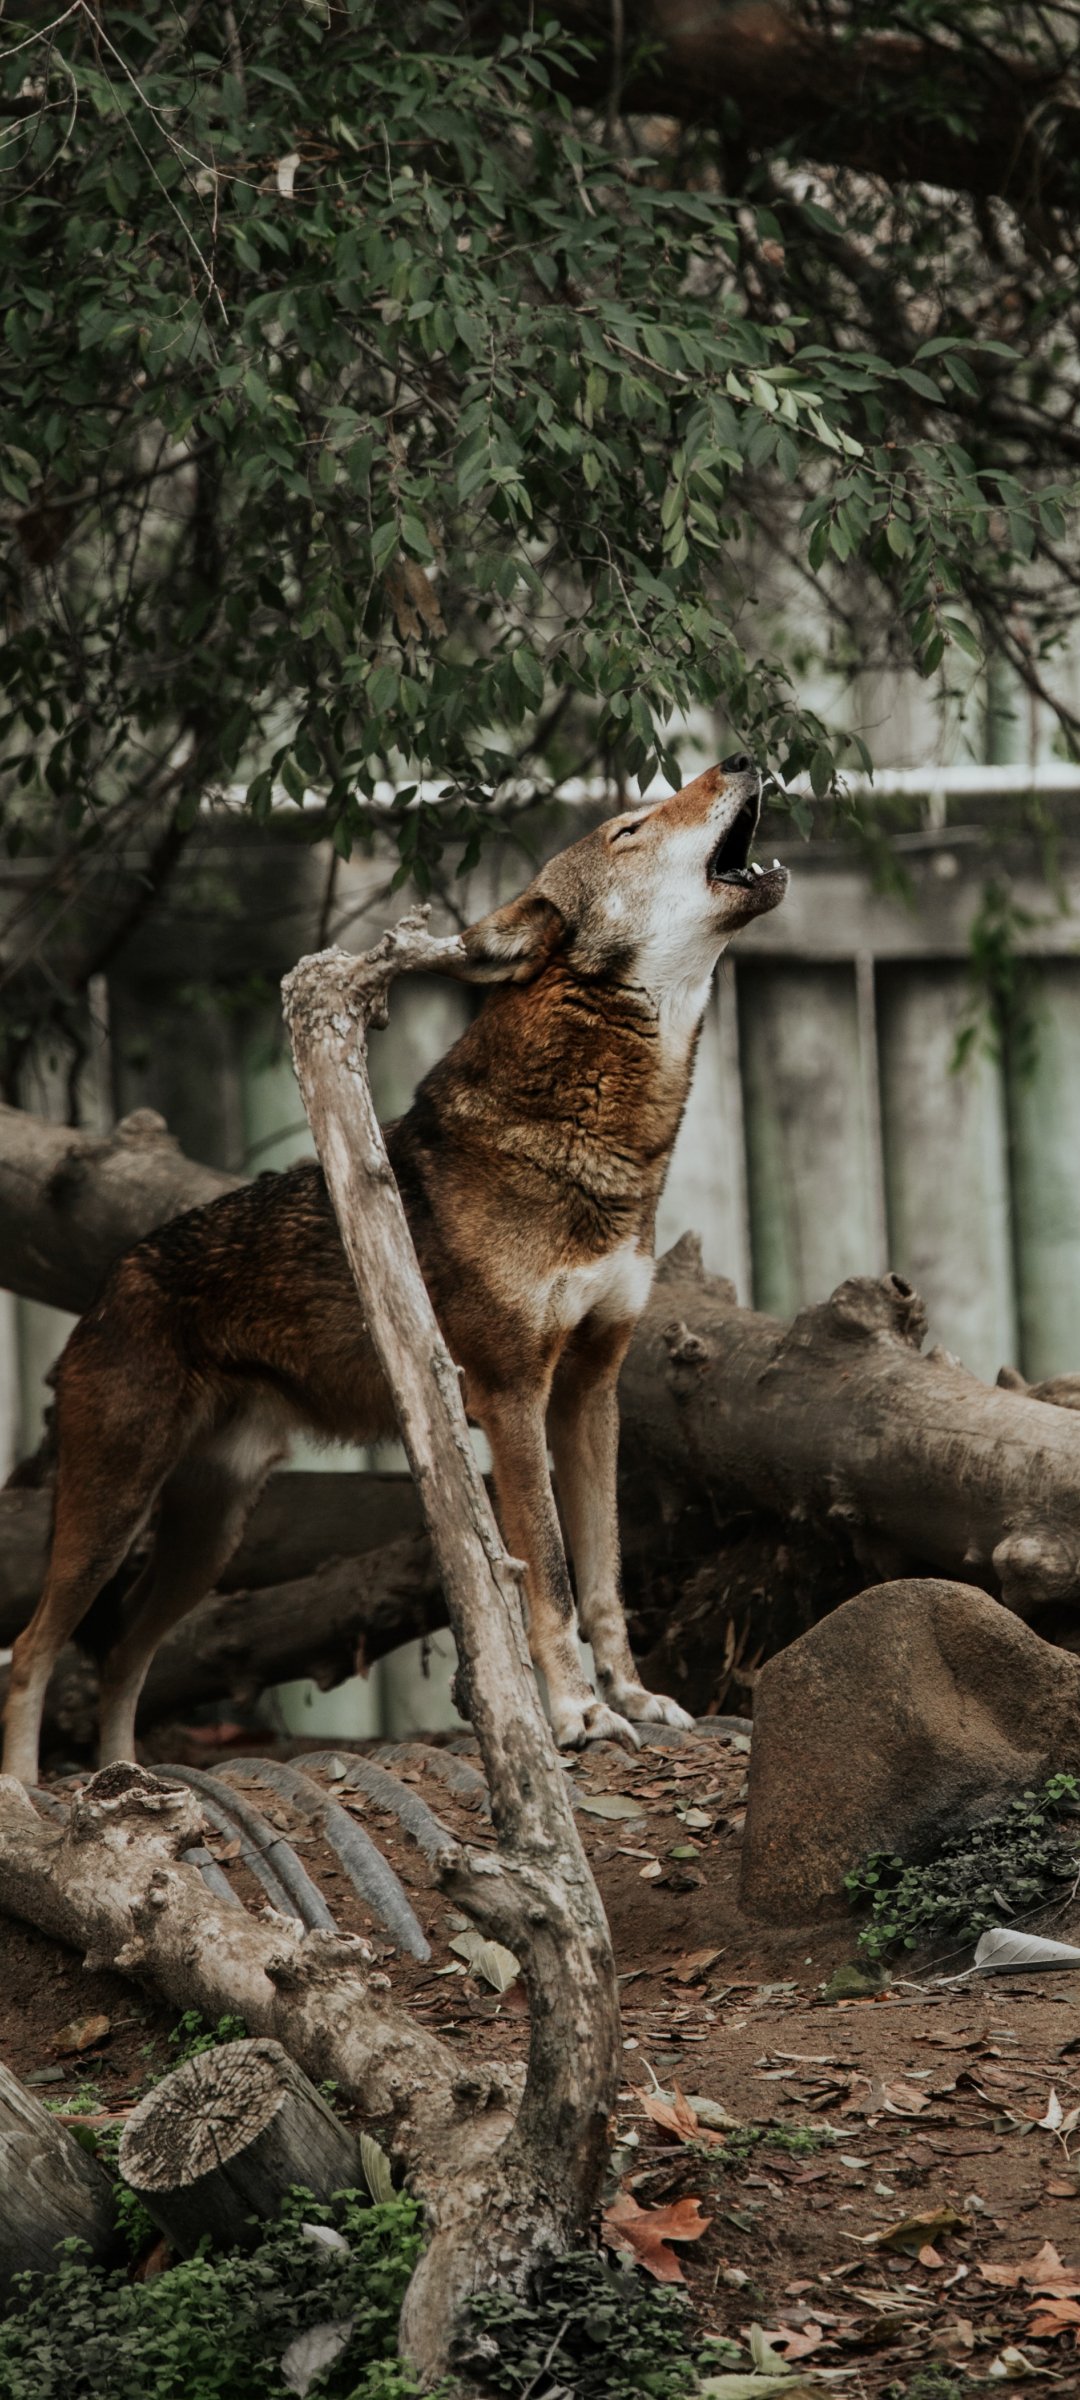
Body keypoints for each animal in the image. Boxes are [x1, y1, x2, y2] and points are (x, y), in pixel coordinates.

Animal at [3, 758, 787, 1788]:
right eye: (629, 828)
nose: (743, 759)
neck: (602, 1144)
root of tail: (105, 1289)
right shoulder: (511, 1396)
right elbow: (550, 1576)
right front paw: (577, 1717)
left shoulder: (590, 1390)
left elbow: (606, 1578)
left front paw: (635, 1700)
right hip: (113, 1514)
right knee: (30, 1654)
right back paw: (33, 1793)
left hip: (207, 1541)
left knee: (126, 1655)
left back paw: (125, 1782)